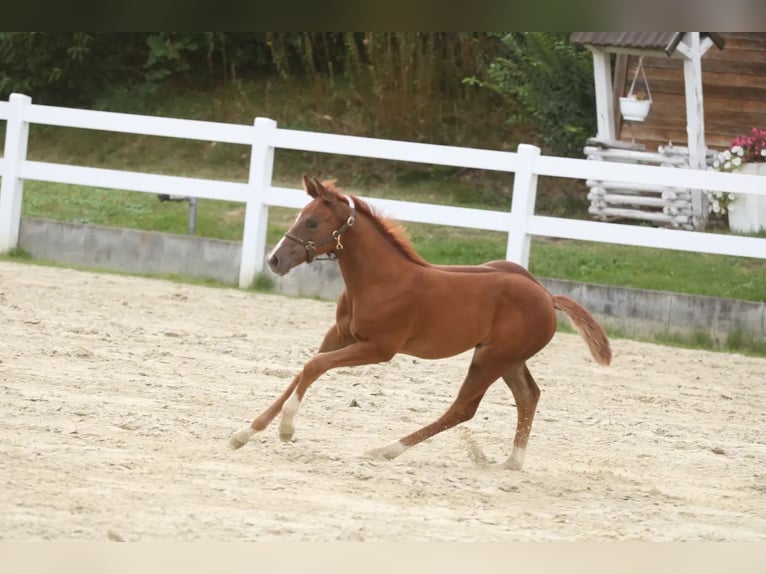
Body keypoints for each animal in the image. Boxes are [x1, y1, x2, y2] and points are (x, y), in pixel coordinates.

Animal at [228, 178, 612, 470]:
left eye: (312, 222)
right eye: (300, 216)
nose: (275, 260)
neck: (381, 280)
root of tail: (547, 295)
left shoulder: (379, 349)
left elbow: (313, 366)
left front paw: (286, 429)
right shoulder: (338, 336)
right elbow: (303, 370)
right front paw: (244, 433)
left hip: (492, 359)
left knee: (464, 408)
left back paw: (386, 449)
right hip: (508, 359)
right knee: (528, 396)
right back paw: (512, 462)